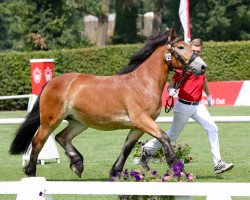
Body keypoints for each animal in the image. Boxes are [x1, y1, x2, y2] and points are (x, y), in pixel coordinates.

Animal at [9, 28, 207, 177]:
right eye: (181, 47)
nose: (203, 66)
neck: (143, 83)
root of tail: (52, 82)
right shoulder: (142, 120)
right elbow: (164, 137)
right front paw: (177, 166)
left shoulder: (138, 126)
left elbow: (127, 147)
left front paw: (115, 171)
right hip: (50, 121)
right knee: (38, 141)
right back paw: (31, 172)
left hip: (79, 122)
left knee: (62, 137)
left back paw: (77, 164)